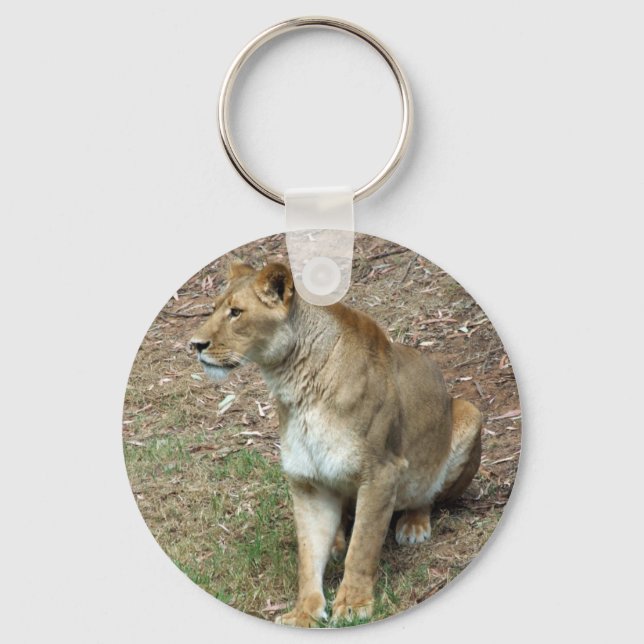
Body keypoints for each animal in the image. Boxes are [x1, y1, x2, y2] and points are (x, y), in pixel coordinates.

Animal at [190, 262, 482, 627]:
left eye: (236, 312)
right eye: (214, 307)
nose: (195, 344)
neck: (295, 384)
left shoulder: (381, 472)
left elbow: (363, 547)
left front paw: (354, 605)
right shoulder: (308, 481)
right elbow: (307, 555)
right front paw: (304, 612)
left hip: (469, 414)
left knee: (427, 494)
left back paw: (413, 524)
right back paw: (336, 541)